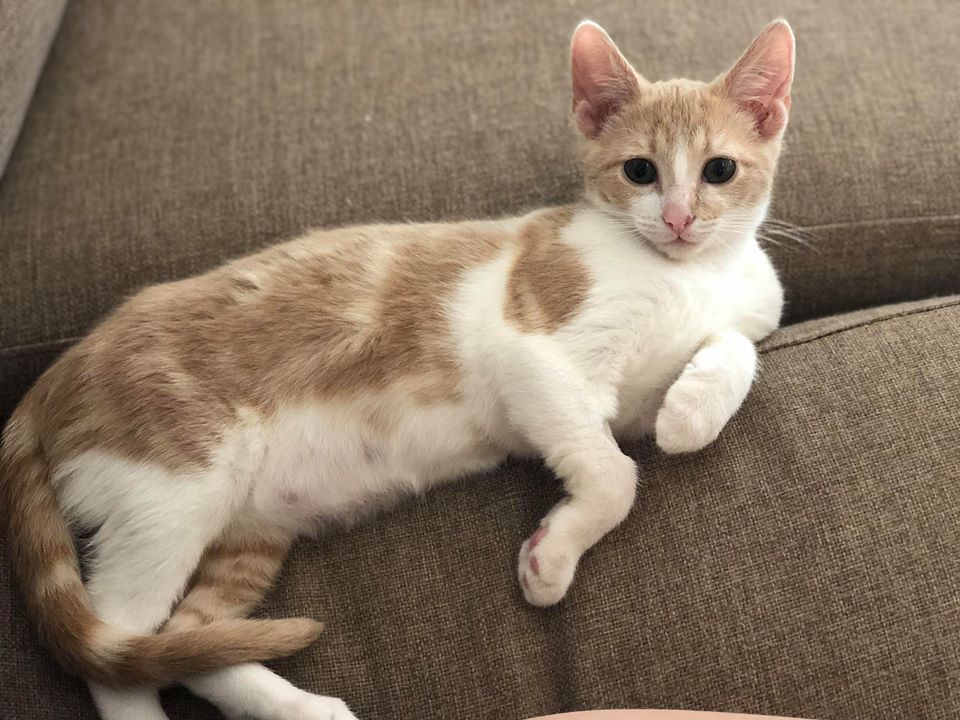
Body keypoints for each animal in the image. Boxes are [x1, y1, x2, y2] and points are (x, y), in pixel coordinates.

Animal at [1, 18, 794, 720]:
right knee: (116, 649)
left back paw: (303, 708)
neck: (690, 274)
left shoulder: (686, 359)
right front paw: (552, 557)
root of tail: (54, 375)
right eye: (640, 171)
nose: (681, 220)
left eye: (719, 169)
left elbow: (737, 347)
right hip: (172, 488)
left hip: (243, 532)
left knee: (187, 642)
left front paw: (691, 414)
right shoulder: (532, 355)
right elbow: (613, 476)